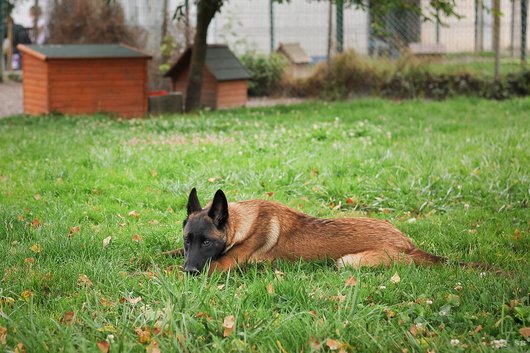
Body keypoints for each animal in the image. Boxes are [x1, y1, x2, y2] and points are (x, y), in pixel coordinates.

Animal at [178, 188, 450, 274]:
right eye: (186, 241)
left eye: (207, 243)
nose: (190, 270)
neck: (241, 224)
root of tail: (410, 246)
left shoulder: (219, 266)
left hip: (347, 261)